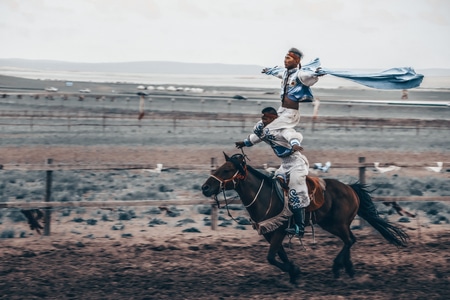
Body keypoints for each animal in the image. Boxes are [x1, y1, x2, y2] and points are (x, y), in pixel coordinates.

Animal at [202, 152, 410, 284]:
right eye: (219, 167)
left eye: (227, 170)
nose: (205, 188)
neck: (266, 196)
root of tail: (351, 188)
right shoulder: (270, 233)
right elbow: (279, 255)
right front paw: (294, 273)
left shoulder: (279, 231)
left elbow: (271, 257)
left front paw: (294, 271)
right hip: (331, 224)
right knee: (349, 240)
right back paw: (349, 270)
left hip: (338, 224)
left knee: (350, 240)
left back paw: (337, 267)